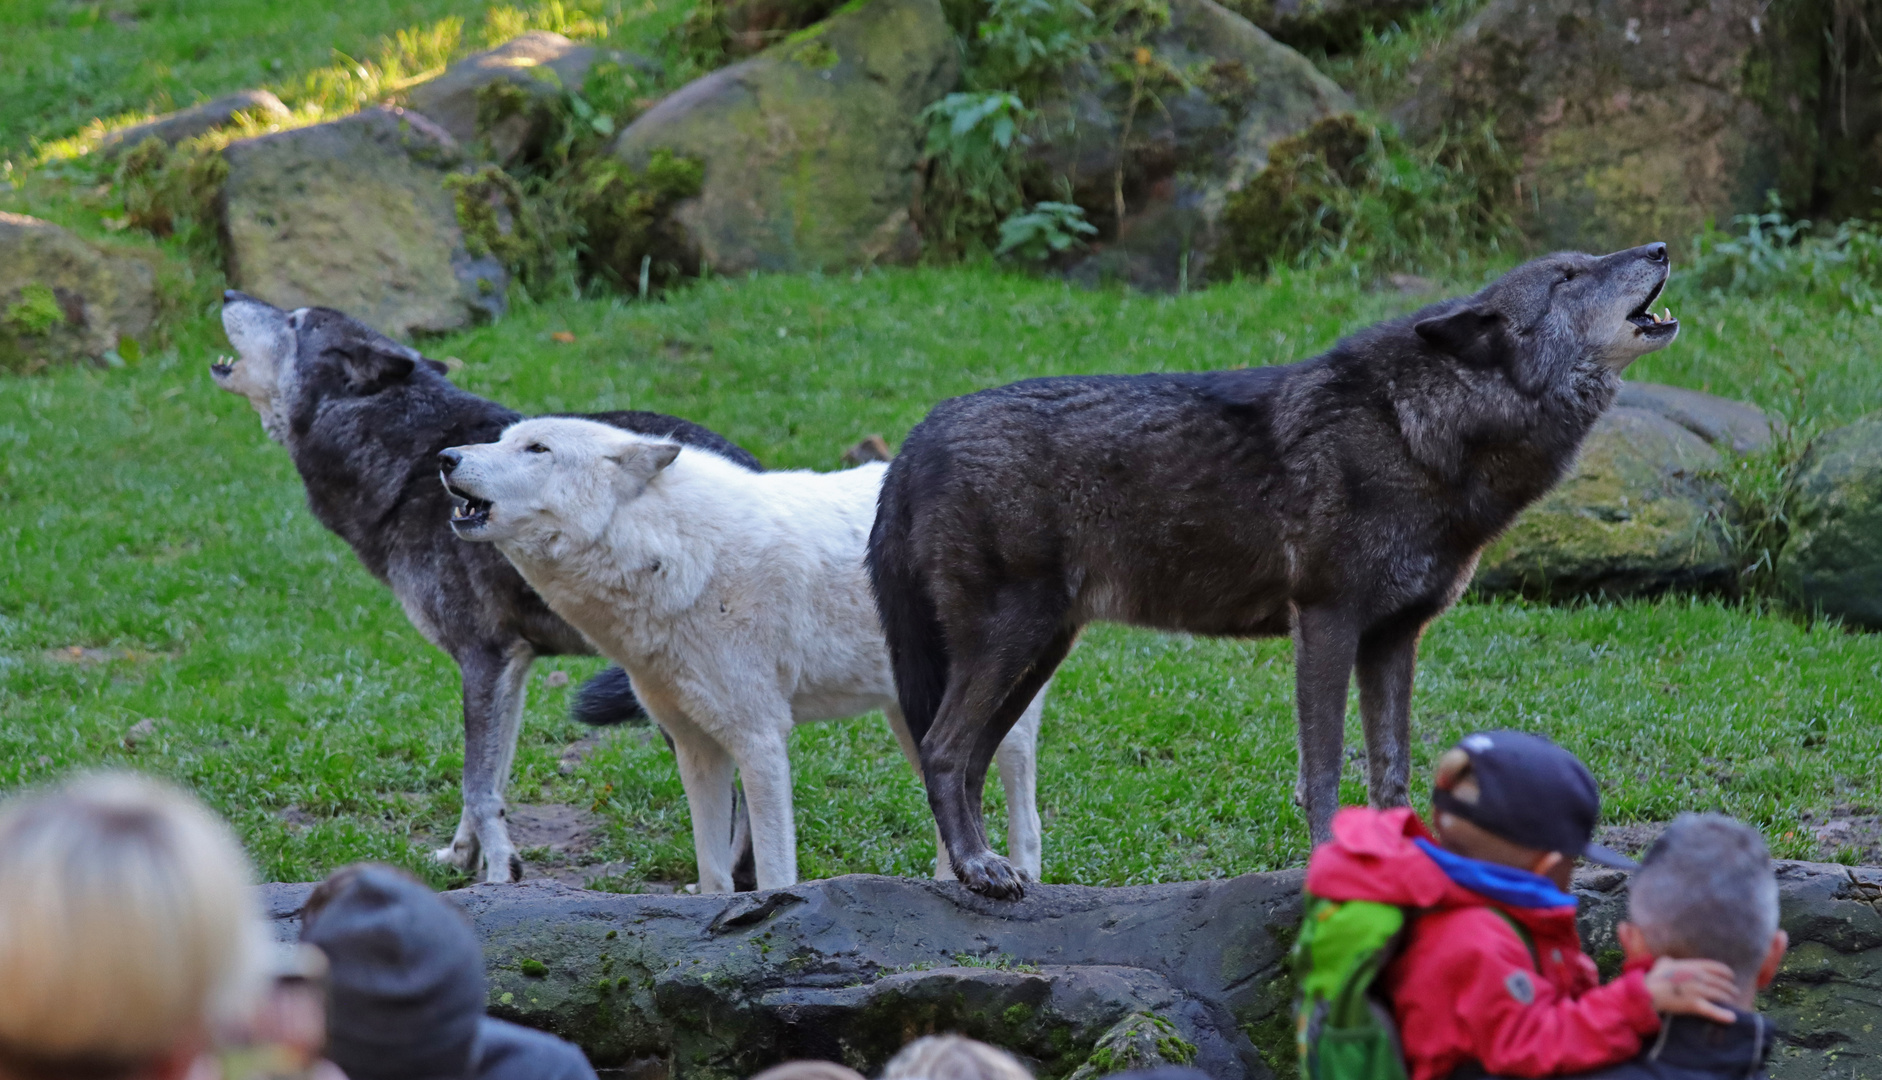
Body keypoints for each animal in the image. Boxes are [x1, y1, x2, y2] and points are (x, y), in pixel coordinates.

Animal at [209, 289, 760, 888]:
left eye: (296, 322)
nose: (229, 293)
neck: (411, 461)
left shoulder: (482, 657)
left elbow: (476, 785)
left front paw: (499, 874)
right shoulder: (511, 667)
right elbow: (489, 779)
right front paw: (461, 858)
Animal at [438, 421, 1046, 895]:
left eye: (536, 448)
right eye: (501, 439)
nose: (445, 458)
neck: (678, 554)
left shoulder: (760, 739)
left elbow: (774, 871)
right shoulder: (695, 746)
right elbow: (713, 873)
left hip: (998, 719)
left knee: (1025, 809)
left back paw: (1015, 877)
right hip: (911, 716)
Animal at [861, 242, 1678, 895]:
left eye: (1589, 259)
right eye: (1569, 276)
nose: (1661, 248)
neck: (1415, 429)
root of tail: (917, 436)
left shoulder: (1394, 637)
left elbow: (1391, 766)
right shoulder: (1325, 621)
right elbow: (1324, 770)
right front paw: (1329, 865)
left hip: (1036, 653)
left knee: (966, 759)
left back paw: (983, 864)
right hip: (1013, 641)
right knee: (942, 750)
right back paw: (978, 869)